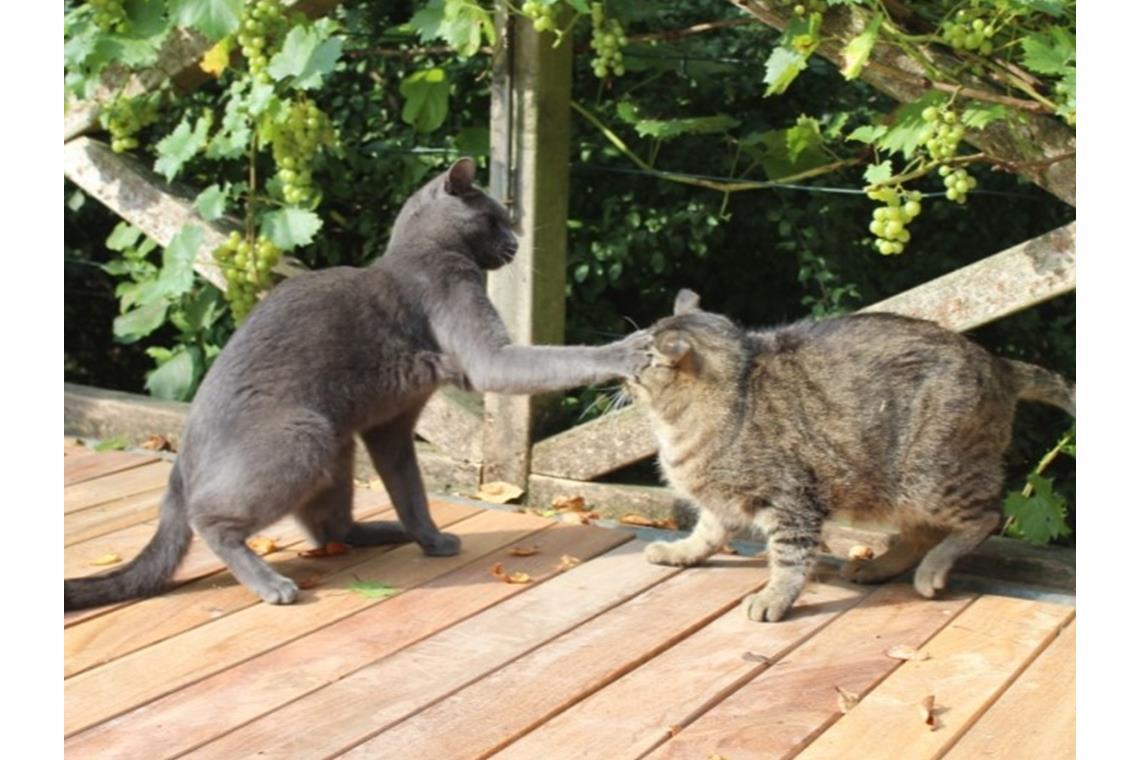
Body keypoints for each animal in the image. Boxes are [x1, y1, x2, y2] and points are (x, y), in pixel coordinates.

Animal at [62, 160, 652, 610]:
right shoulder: (474, 338)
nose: (514, 242)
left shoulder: (390, 426)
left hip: (341, 444)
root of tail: (182, 459)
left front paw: (430, 537)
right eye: (496, 218)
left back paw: (386, 532)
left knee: (331, 529)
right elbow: (546, 360)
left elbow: (412, 491)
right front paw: (626, 350)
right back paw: (272, 584)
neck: (425, 251)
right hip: (305, 432)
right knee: (212, 519)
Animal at [629, 288, 1071, 619]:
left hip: (931, 478)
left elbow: (789, 559)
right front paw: (680, 551)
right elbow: (705, 534)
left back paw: (932, 569)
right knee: (922, 534)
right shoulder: (722, 502)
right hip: (896, 492)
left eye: (640, 363)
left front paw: (774, 598)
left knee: (986, 517)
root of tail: (999, 365)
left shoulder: (791, 502)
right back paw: (878, 566)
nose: (624, 377)